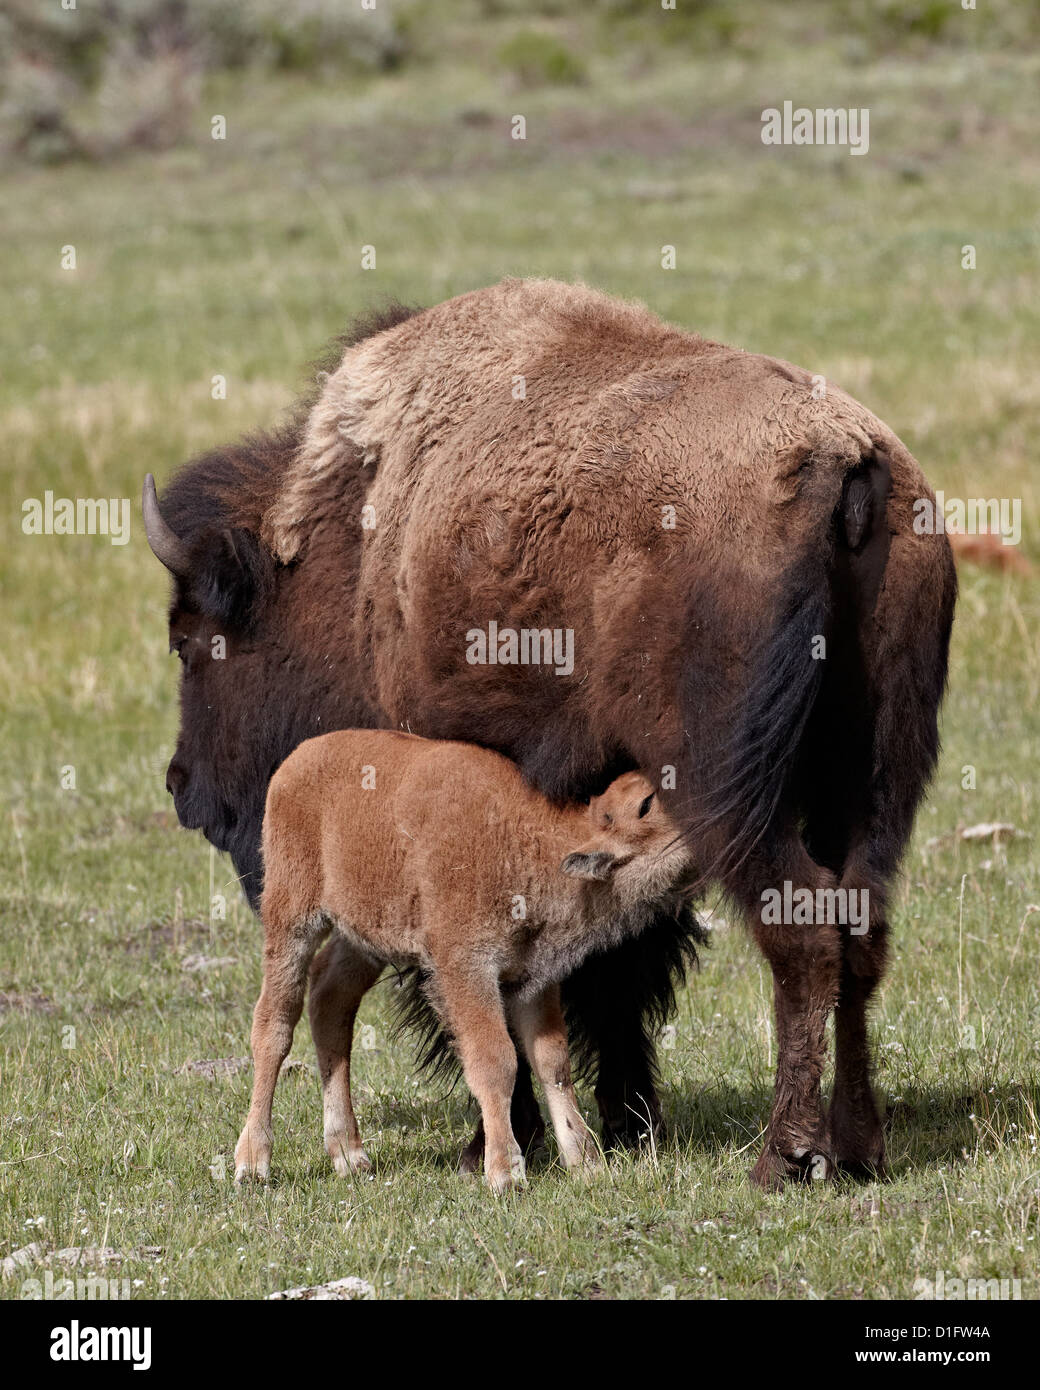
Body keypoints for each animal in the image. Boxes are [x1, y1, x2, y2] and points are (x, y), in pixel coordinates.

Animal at [232, 728, 695, 1195]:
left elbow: (552, 1062)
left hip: (363, 938)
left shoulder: (533, 981)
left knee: (330, 1001)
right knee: (274, 1022)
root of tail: (297, 760)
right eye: (645, 805)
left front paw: (586, 1163)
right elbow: (497, 1061)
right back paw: (253, 1163)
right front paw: (506, 1172)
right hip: (292, 917)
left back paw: (350, 1155)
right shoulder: (466, 971)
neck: (530, 840)